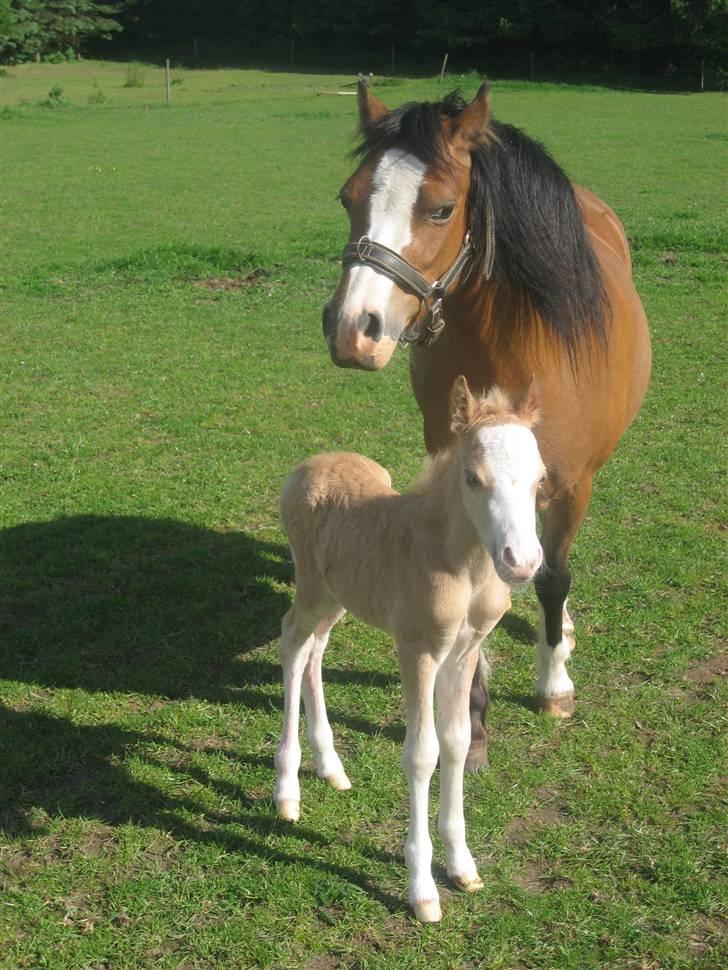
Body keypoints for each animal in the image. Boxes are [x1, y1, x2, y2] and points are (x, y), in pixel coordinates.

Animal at [276, 374, 544, 920]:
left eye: (540, 480)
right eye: (472, 478)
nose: (522, 562)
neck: (460, 564)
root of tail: (307, 466)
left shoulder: (463, 653)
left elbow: (457, 741)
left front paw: (461, 865)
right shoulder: (417, 650)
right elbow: (422, 753)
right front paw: (422, 888)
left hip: (339, 595)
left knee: (315, 649)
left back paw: (330, 766)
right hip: (311, 588)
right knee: (291, 644)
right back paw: (287, 790)